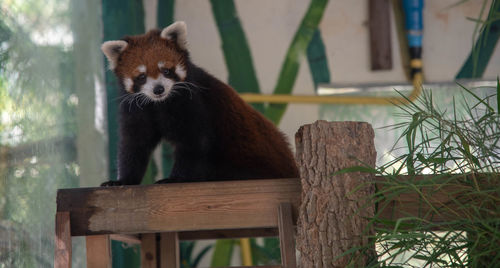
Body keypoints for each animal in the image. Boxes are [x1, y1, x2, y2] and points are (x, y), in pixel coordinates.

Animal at [99, 21, 298, 186]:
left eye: (166, 71)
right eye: (141, 76)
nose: (158, 89)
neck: (160, 104)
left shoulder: (194, 103)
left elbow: (194, 142)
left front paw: (176, 178)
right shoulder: (136, 109)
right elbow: (133, 145)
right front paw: (123, 180)